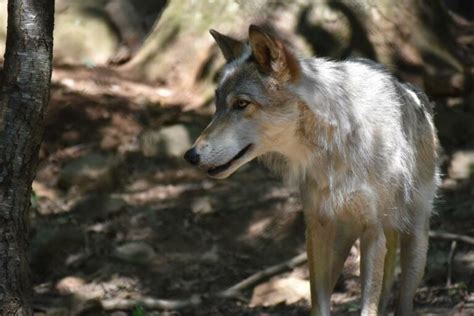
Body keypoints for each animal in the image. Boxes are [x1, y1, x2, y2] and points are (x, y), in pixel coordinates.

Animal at [184, 25, 440, 316]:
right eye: (217, 106)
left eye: (241, 104)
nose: (190, 155)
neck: (334, 148)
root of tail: (411, 90)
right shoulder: (316, 228)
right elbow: (319, 304)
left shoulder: (374, 232)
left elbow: (369, 307)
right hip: (339, 243)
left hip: (414, 242)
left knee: (404, 300)